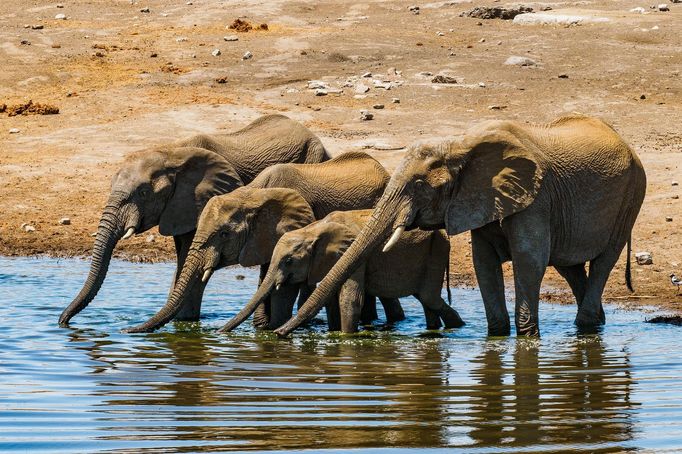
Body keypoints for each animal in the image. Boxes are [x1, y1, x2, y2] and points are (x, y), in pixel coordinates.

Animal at [57, 113, 328, 326]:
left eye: (143, 193)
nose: (63, 321)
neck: (171, 154)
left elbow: (191, 256)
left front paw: (184, 320)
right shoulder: (179, 208)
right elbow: (183, 257)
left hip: (313, 159)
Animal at [123, 151, 404, 332]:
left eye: (224, 235)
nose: (127, 331)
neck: (253, 194)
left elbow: (284, 285)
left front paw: (272, 328)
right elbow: (266, 276)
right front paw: (262, 328)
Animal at [220, 209, 464, 334]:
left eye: (288, 261)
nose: (277, 334)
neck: (314, 229)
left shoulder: (352, 254)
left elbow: (349, 298)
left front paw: (346, 339)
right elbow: (330, 298)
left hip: (436, 251)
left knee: (429, 297)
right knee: (426, 300)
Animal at [274, 115, 644, 338]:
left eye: (419, 185)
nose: (276, 336)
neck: (462, 145)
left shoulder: (536, 198)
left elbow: (529, 261)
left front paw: (526, 341)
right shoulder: (480, 198)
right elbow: (484, 262)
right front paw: (498, 337)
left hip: (631, 196)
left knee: (603, 261)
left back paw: (585, 324)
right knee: (570, 266)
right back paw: (594, 325)